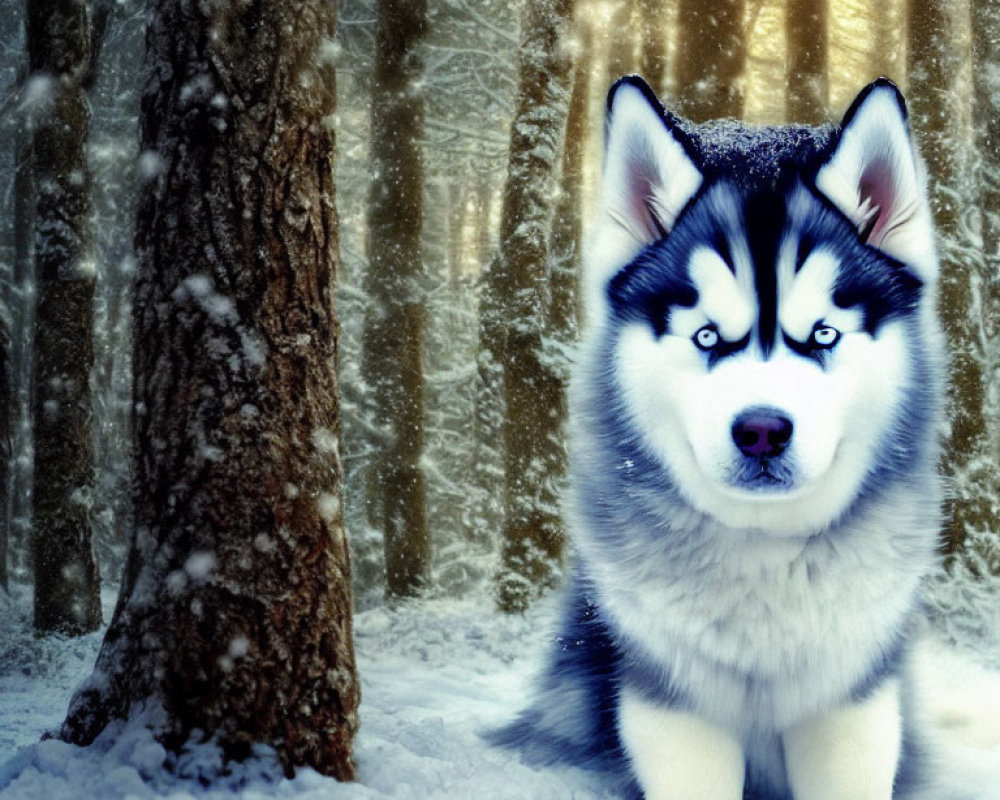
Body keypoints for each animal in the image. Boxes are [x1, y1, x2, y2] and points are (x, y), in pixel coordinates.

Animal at [504, 76, 948, 800]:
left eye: (823, 334)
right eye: (708, 335)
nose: (762, 431)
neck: (765, 555)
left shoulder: (850, 702)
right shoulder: (672, 705)